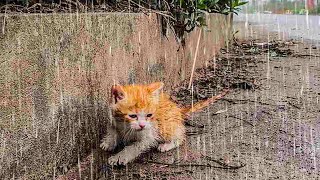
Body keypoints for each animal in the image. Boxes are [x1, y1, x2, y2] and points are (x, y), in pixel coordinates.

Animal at [100, 82, 228, 165]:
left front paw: (120, 157)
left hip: (166, 124)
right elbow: (112, 130)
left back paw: (167, 144)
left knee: (180, 136)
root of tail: (178, 110)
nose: (142, 125)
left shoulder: (149, 133)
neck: (125, 125)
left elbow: (135, 147)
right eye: (132, 116)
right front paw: (108, 142)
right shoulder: (112, 118)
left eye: (149, 115)